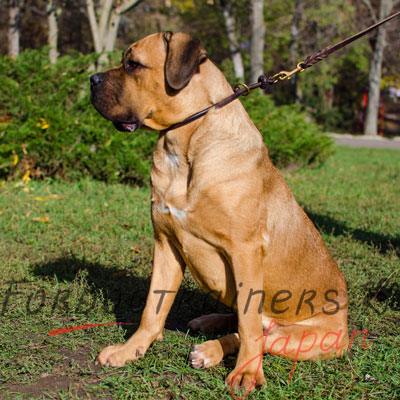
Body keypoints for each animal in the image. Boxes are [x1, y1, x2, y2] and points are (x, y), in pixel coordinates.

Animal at [90, 32, 346, 392]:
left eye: (133, 64)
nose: (91, 79)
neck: (183, 146)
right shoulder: (165, 244)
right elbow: (152, 308)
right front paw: (131, 349)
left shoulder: (245, 251)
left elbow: (250, 329)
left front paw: (247, 373)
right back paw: (209, 325)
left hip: (306, 336)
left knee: (260, 332)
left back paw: (211, 351)